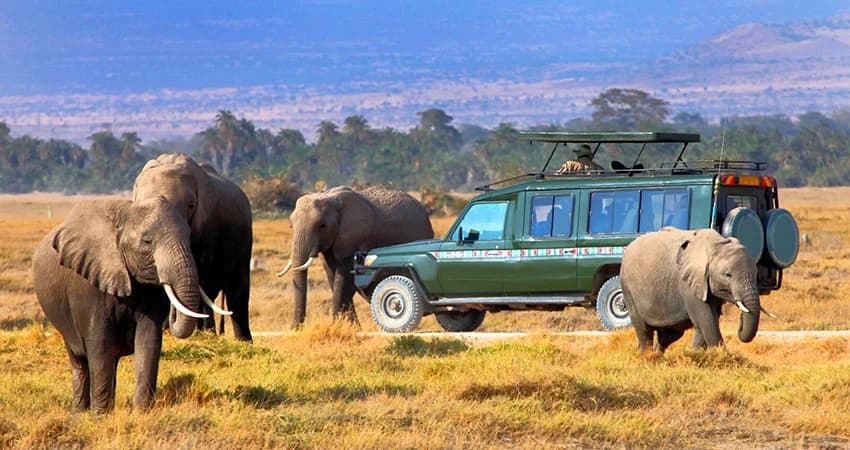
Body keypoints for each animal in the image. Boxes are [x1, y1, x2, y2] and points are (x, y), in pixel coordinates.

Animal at [32, 198, 224, 412]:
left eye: (189, 239)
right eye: (147, 241)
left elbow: (148, 341)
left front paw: (140, 412)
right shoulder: (89, 285)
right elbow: (99, 344)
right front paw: (100, 415)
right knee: (80, 360)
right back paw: (80, 412)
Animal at [279, 185, 434, 328]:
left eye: (322, 225)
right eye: (291, 225)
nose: (295, 329)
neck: (330, 197)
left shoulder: (356, 237)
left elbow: (344, 278)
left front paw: (337, 325)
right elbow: (333, 275)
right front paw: (350, 327)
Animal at [620, 227, 764, 353]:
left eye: (757, 273)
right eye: (728, 275)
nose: (741, 319)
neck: (716, 242)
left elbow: (707, 322)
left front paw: (694, 353)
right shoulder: (687, 284)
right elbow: (706, 320)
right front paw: (720, 356)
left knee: (670, 335)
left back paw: (656, 356)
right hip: (627, 287)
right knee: (644, 330)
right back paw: (646, 356)